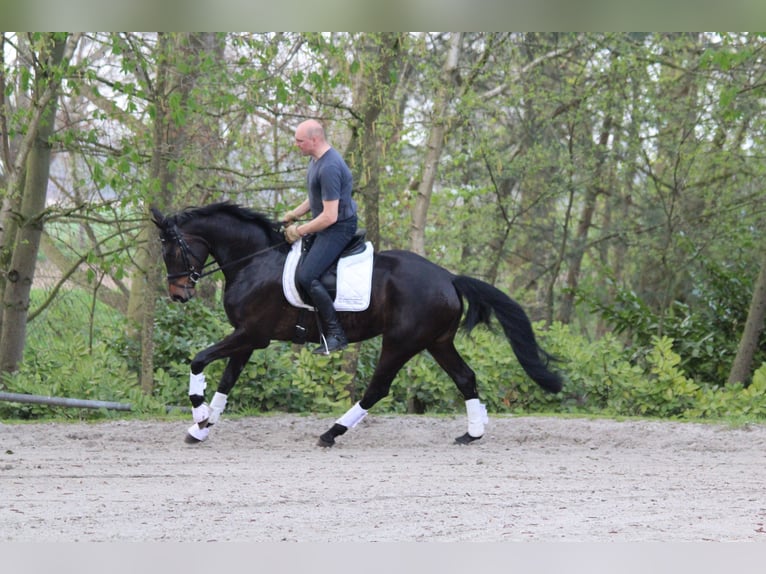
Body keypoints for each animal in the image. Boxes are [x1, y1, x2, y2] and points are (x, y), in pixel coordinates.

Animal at [152, 205, 564, 448]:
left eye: (170, 250)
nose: (178, 293)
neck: (254, 261)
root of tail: (448, 277)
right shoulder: (250, 339)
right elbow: (226, 382)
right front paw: (202, 427)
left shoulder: (252, 334)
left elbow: (198, 360)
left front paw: (199, 415)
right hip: (437, 341)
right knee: (466, 378)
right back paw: (472, 433)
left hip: (400, 342)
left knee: (378, 388)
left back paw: (331, 433)